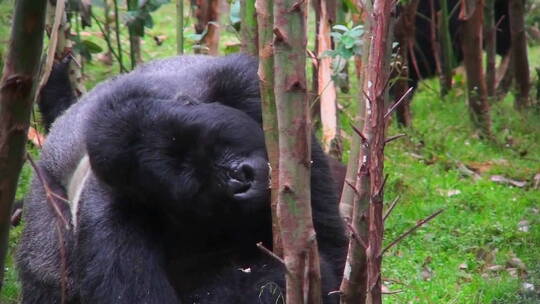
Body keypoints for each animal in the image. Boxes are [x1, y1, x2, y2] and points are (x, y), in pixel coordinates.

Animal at [16, 54, 348, 304]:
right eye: (194, 182)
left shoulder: (250, 87)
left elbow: (326, 254)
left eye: (211, 143)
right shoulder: (110, 225)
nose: (240, 179)